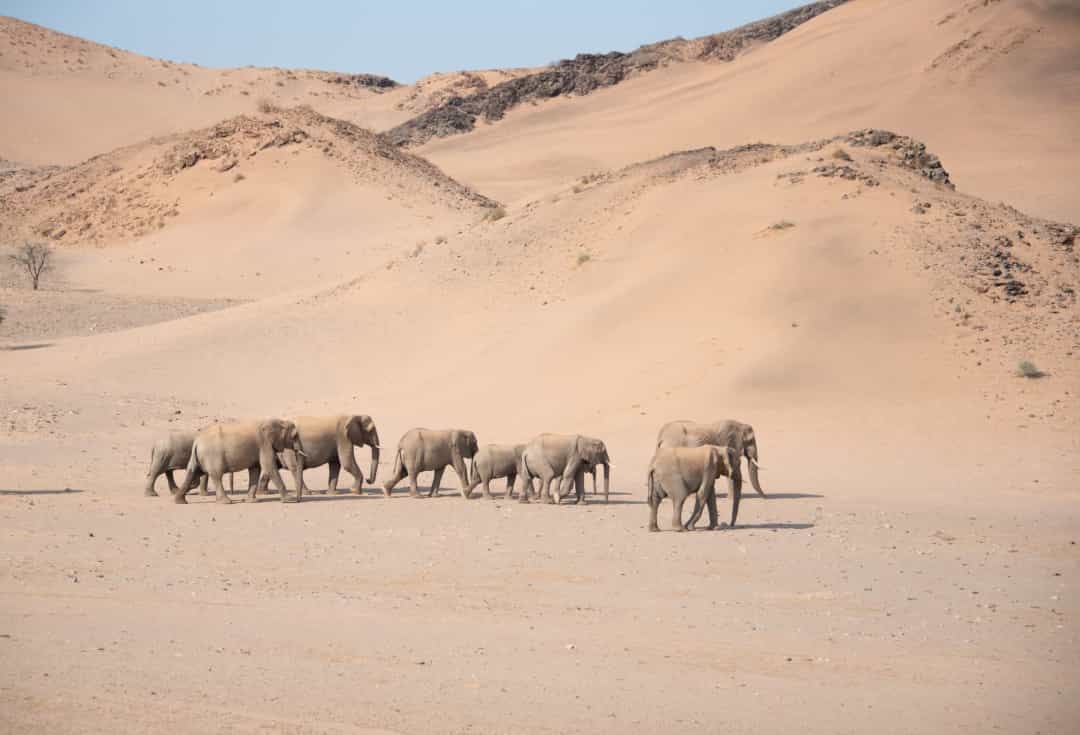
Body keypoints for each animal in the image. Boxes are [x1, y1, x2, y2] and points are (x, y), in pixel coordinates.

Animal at [176, 418, 304, 505]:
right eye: (294, 436)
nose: (298, 500)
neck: (277, 420)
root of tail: (197, 441)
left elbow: (255, 470)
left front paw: (252, 501)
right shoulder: (264, 444)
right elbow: (268, 466)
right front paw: (289, 500)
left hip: (199, 457)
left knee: (193, 472)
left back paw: (180, 501)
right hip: (212, 456)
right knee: (217, 476)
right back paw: (226, 502)